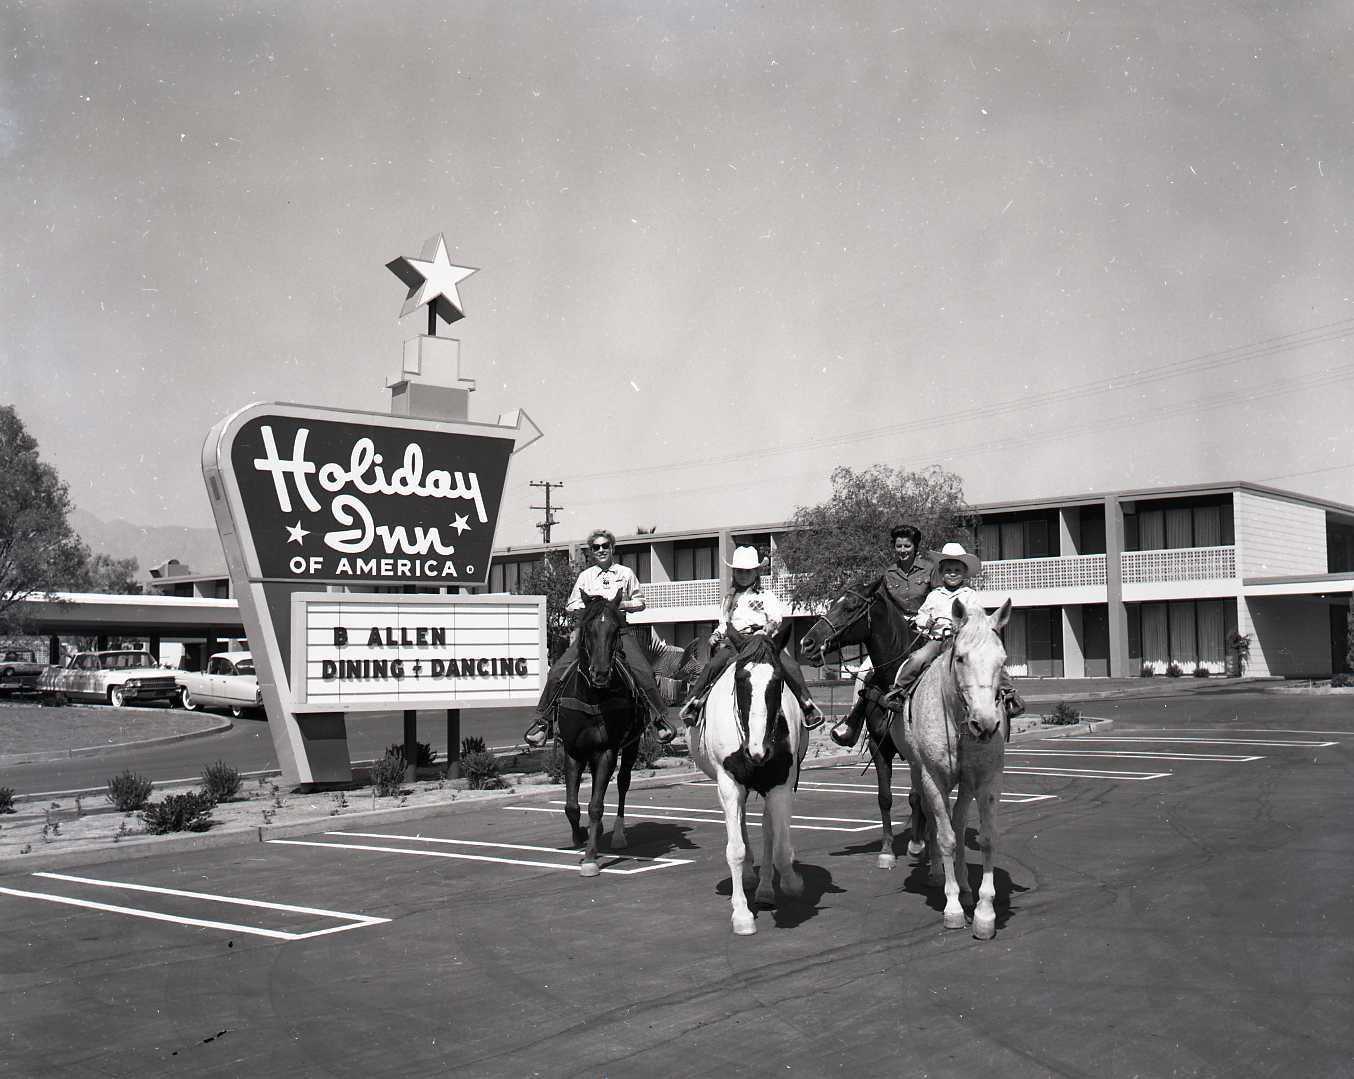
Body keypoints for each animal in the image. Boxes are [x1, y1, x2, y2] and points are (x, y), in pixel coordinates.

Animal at [557, 592, 647, 877]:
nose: (600, 673)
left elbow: (596, 806)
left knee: (623, 783)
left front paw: (590, 858)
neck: (592, 696)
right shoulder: (573, 750)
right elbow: (572, 806)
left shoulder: (607, 750)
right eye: (588, 629)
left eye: (617, 630)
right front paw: (579, 837)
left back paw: (618, 835)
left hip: (631, 746)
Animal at [687, 622, 801, 936]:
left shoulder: (781, 784)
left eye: (778, 680)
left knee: (767, 830)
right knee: (740, 824)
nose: (757, 752)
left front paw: (787, 884)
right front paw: (741, 914)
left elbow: (780, 846)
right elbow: (735, 850)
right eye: (740, 679)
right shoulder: (729, 783)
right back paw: (750, 878)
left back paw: (765, 889)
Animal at [888, 592, 1018, 936]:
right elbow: (945, 838)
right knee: (936, 820)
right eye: (960, 658)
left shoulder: (987, 779)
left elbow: (985, 838)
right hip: (920, 772)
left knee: (957, 822)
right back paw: (939, 873)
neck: (957, 719)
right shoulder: (934, 778)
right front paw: (953, 908)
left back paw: (965, 885)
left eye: (1002, 661)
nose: (985, 724)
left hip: (966, 783)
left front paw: (984, 912)